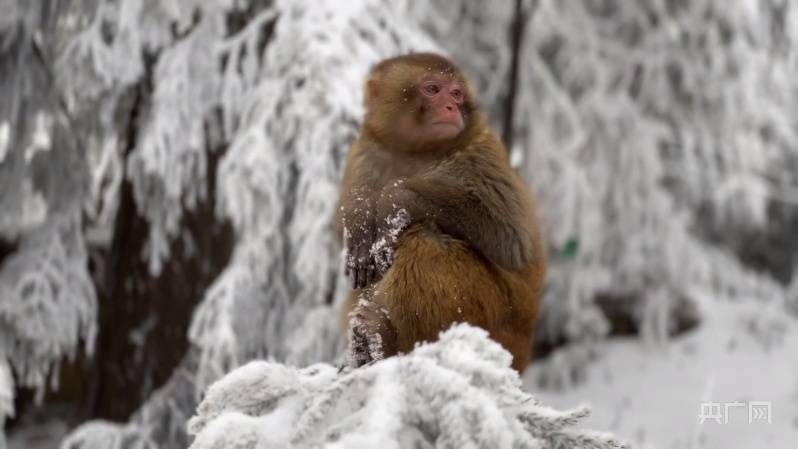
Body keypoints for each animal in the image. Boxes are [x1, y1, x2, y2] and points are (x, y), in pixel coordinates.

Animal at [338, 52, 552, 372]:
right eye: (432, 89)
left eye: (456, 93)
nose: (451, 107)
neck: (418, 152)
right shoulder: (366, 154)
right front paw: (360, 227)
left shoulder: (479, 156)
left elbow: (510, 241)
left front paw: (394, 199)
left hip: (499, 324)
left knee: (425, 242)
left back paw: (388, 341)